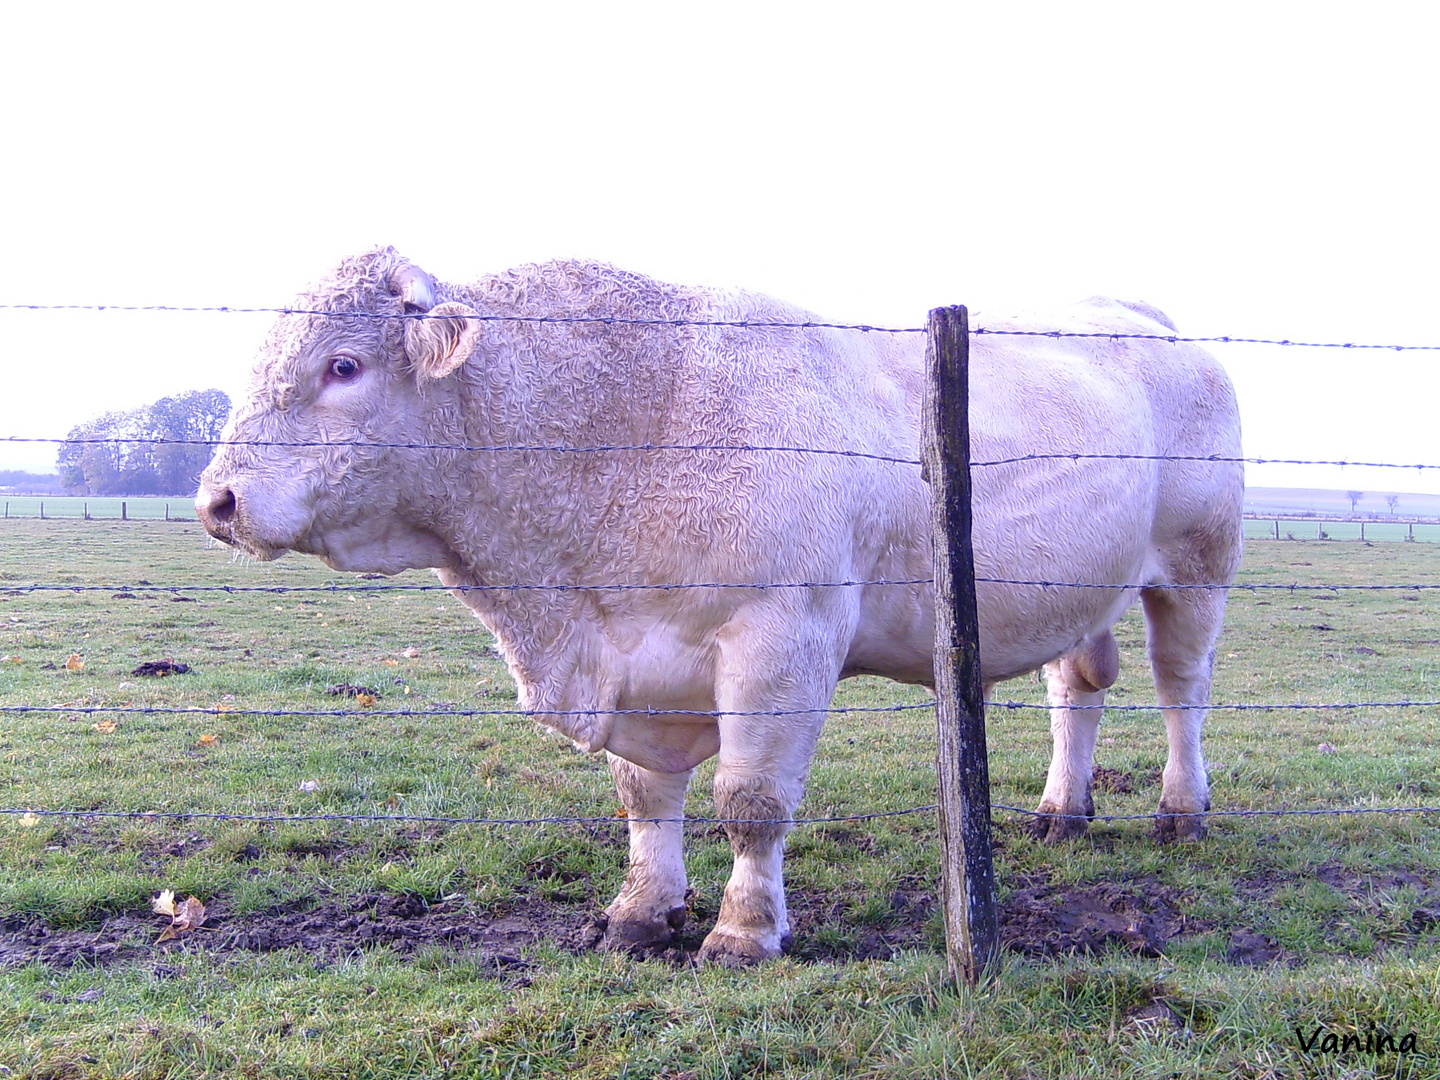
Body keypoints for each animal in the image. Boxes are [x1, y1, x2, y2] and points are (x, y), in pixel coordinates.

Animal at [197, 252, 1244, 961]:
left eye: (342, 366)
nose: (219, 500)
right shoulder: (637, 662)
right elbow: (644, 797)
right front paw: (641, 911)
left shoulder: (783, 637)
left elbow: (750, 804)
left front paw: (743, 933)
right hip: (1081, 587)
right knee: (1082, 685)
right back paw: (1062, 810)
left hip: (1197, 563)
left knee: (1181, 687)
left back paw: (1180, 810)